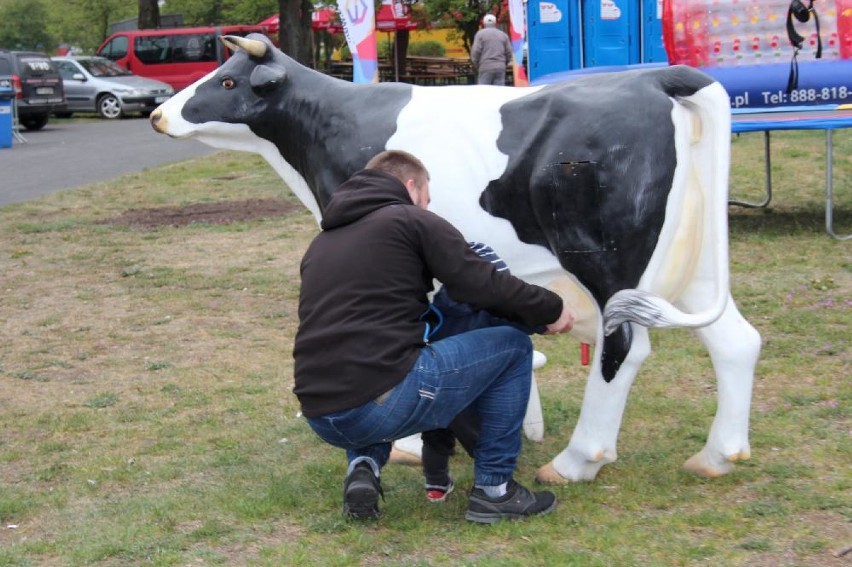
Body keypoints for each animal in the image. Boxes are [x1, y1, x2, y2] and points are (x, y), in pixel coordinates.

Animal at [150, 32, 764, 484]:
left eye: (227, 80)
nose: (158, 115)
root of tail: (655, 77)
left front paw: (408, 441)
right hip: (690, 263)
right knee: (737, 340)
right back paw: (717, 457)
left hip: (605, 258)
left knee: (623, 349)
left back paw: (575, 462)